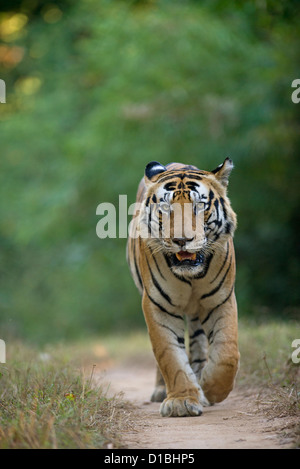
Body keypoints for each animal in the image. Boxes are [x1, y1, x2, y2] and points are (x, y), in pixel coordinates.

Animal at [126, 158, 239, 416]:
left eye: (199, 206)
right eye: (165, 208)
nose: (181, 240)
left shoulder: (221, 299)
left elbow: (227, 354)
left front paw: (210, 389)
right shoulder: (158, 305)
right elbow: (169, 355)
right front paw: (182, 401)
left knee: (198, 344)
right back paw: (162, 390)